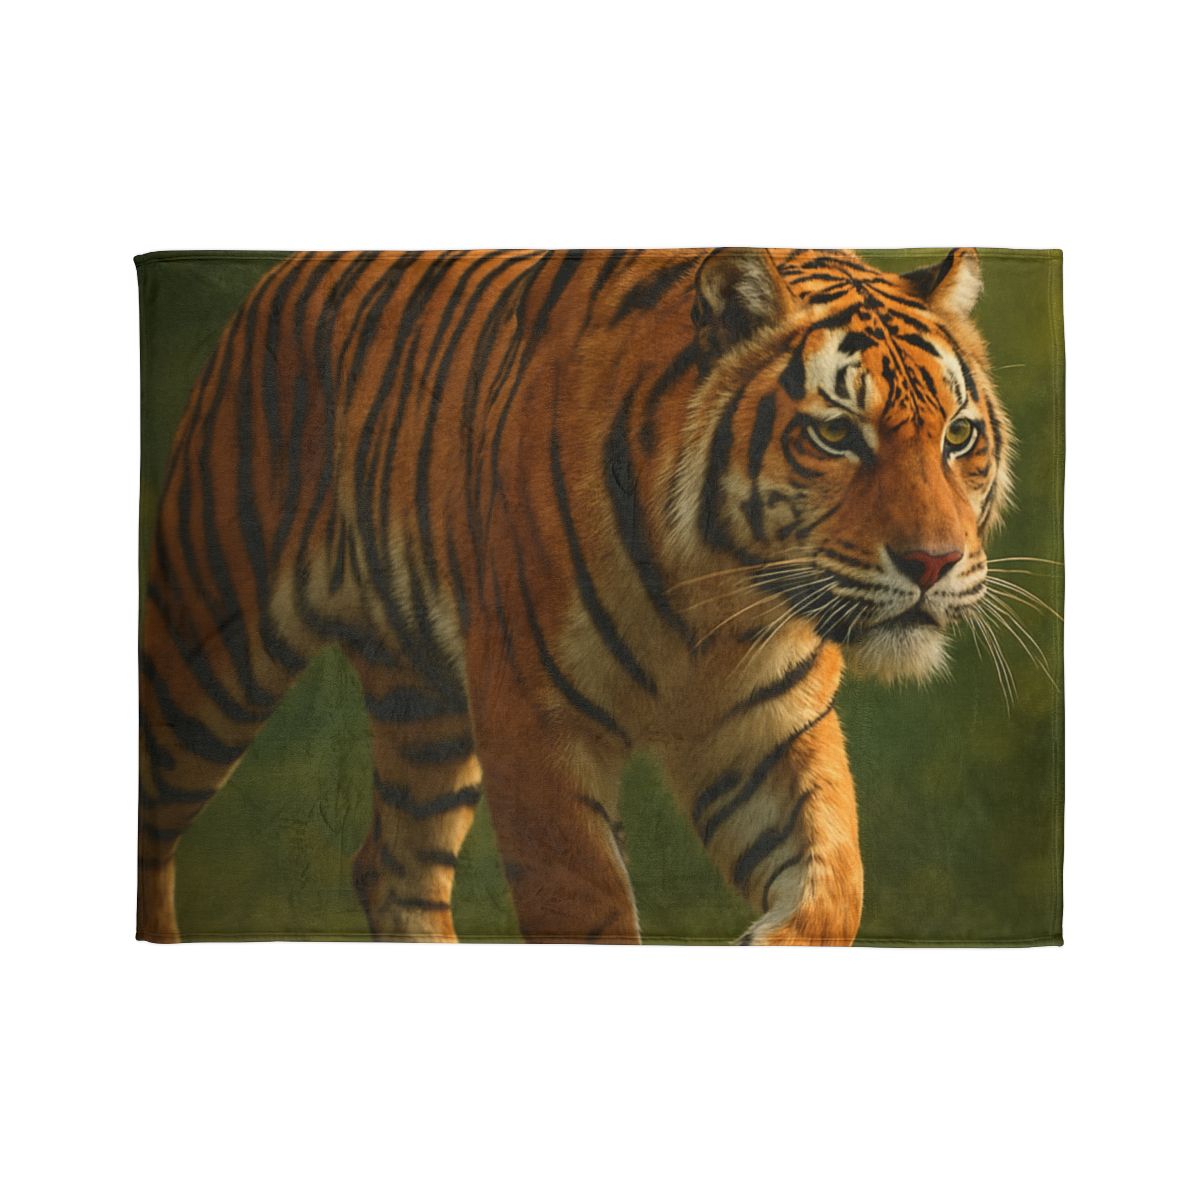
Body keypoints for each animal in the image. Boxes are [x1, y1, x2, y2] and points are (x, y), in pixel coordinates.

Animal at [137, 246, 1010, 945]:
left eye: (958, 436)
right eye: (835, 434)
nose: (933, 562)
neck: (718, 596)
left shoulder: (772, 730)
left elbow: (836, 885)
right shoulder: (535, 723)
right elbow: (585, 906)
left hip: (427, 706)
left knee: (394, 865)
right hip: (211, 649)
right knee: (151, 814)